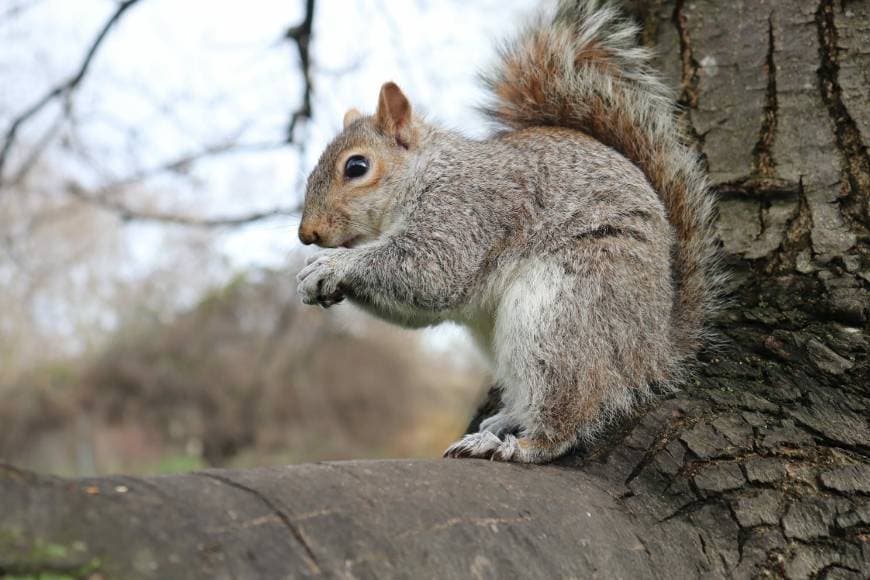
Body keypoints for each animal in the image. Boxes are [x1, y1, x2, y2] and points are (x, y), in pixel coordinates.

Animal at [296, 0, 720, 462]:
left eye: (357, 167)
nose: (306, 234)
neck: (427, 172)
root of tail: (654, 350)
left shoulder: (466, 211)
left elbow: (430, 273)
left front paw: (331, 265)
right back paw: (505, 420)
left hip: (564, 311)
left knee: (570, 409)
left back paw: (523, 444)